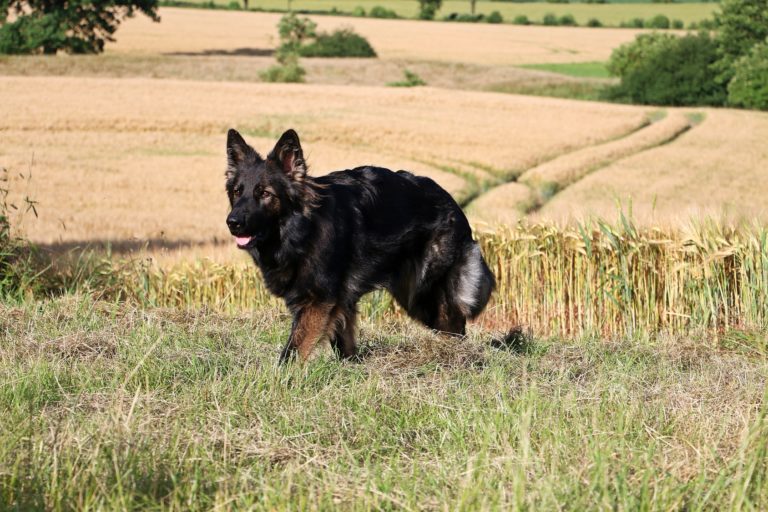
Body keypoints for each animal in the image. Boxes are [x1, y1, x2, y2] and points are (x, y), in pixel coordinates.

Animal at [225, 128, 496, 362]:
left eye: (265, 193)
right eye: (237, 192)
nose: (232, 222)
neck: (301, 229)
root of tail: (453, 203)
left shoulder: (318, 301)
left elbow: (291, 352)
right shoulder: (340, 301)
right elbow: (342, 340)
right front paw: (350, 365)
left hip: (425, 293)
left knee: (455, 325)